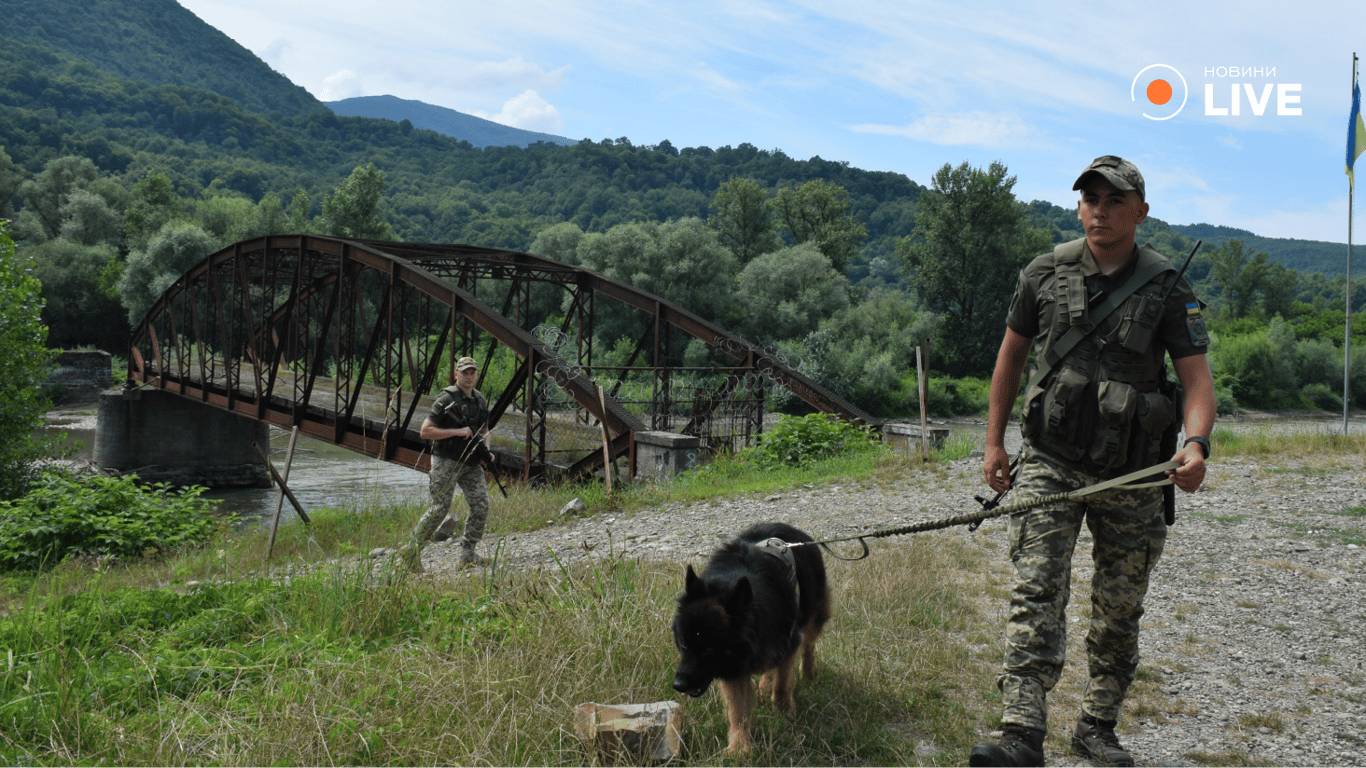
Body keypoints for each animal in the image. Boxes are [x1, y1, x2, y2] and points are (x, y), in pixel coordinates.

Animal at [672, 519, 830, 748]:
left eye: (708, 649)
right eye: (684, 644)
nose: (678, 685)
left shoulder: (788, 642)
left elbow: (782, 687)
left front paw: (785, 716)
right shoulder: (734, 668)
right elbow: (738, 711)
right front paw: (740, 747)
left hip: (813, 613)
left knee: (809, 644)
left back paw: (808, 672)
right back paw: (765, 685)